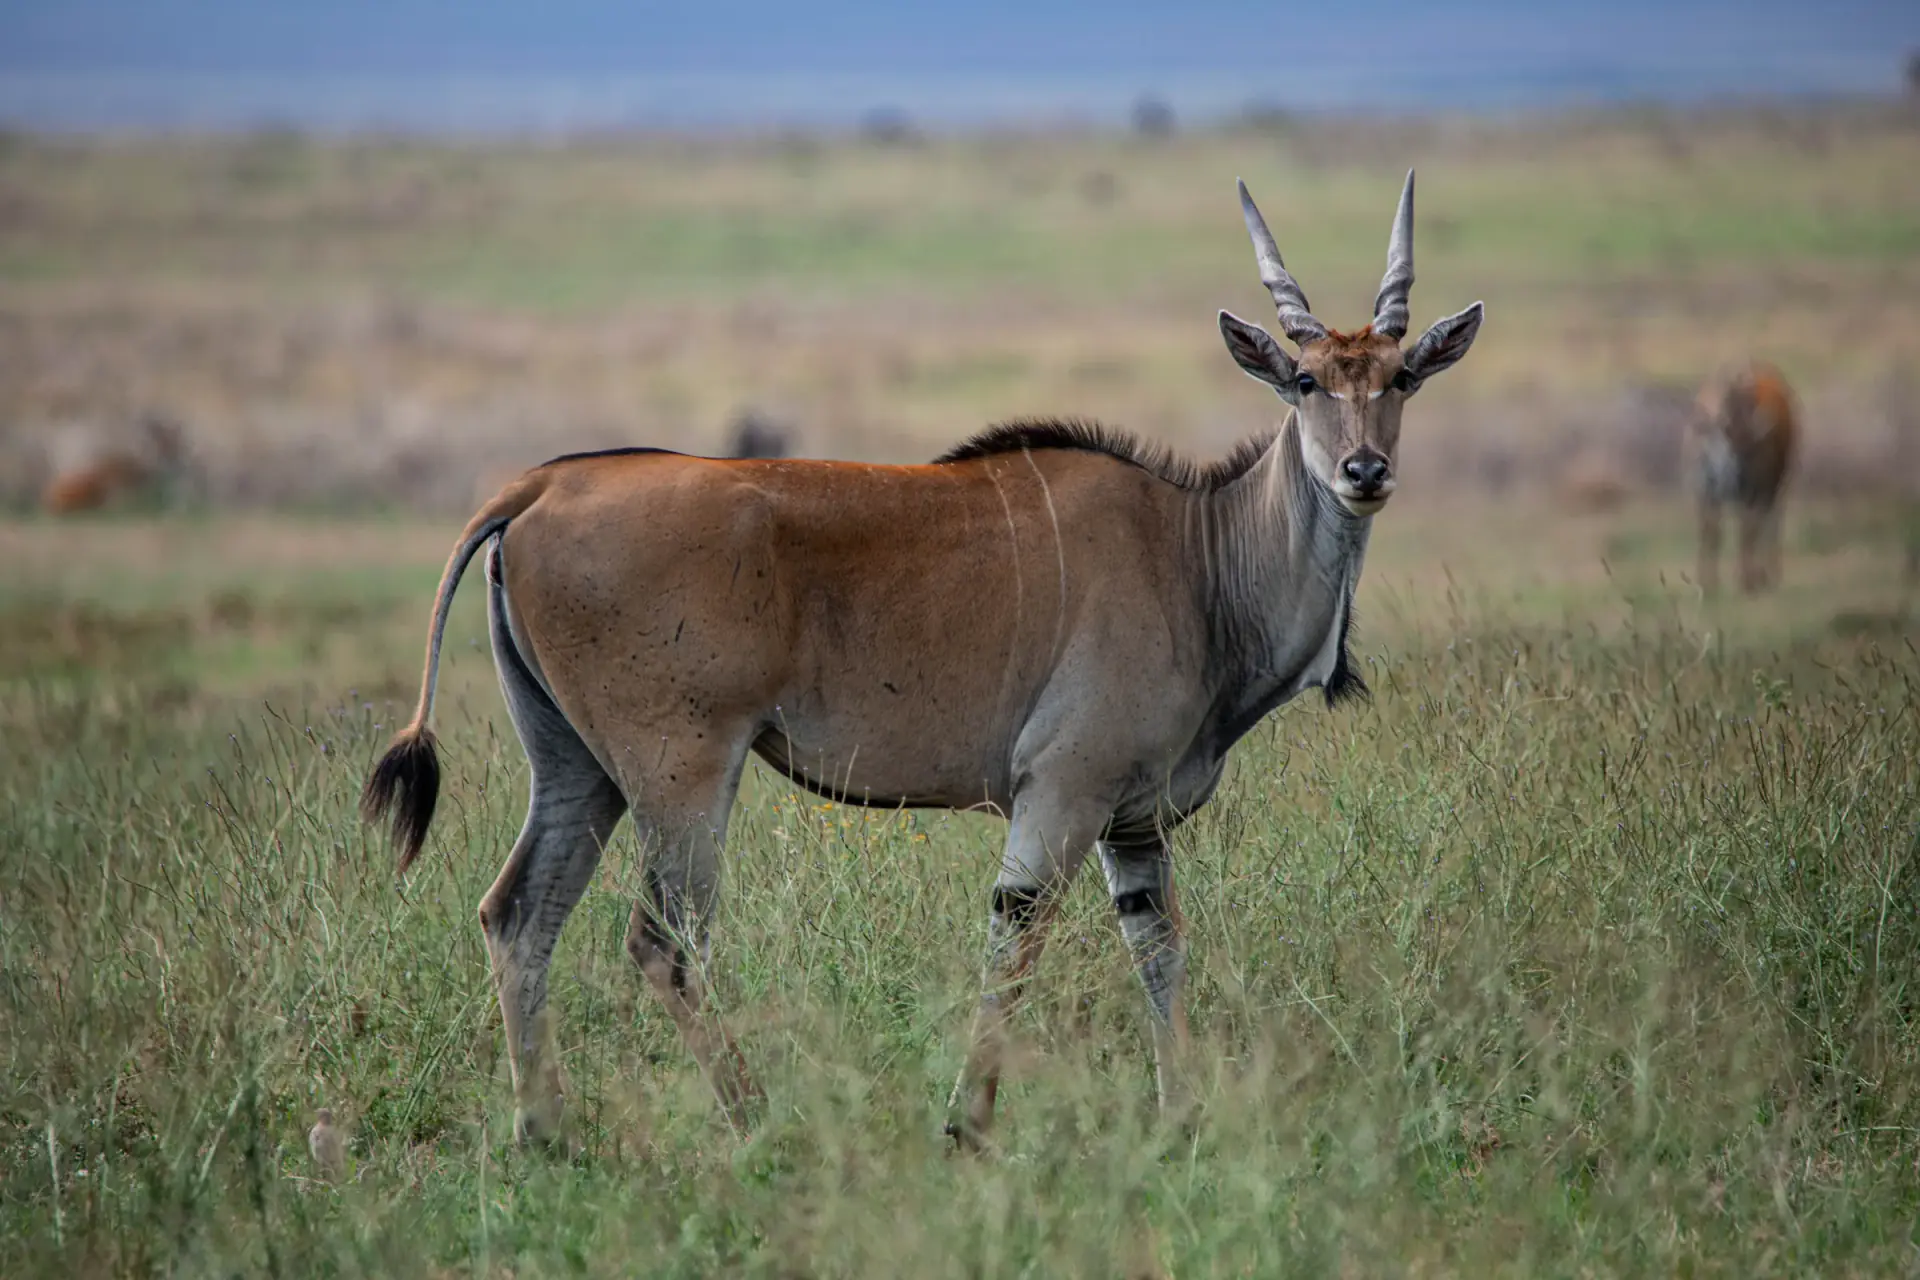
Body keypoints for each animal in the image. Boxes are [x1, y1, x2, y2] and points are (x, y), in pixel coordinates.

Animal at [363, 172, 1483, 1149]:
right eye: (1304, 379)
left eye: (1398, 378)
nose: (1365, 470)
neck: (1193, 557)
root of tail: (541, 487)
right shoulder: (1060, 796)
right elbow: (1015, 943)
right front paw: (968, 1126)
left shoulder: (1132, 825)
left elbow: (1157, 949)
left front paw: (1182, 1117)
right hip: (681, 771)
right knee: (663, 942)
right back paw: (757, 1122)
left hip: (576, 766)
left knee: (519, 915)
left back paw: (545, 1132)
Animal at [1690, 362, 1797, 594]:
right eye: (1708, 433)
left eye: (1734, 433)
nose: (1723, 473)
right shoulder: (1705, 494)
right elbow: (1710, 532)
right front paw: (1707, 584)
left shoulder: (1755, 489)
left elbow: (1747, 532)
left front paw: (1748, 582)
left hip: (1779, 484)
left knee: (1772, 524)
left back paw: (1769, 575)